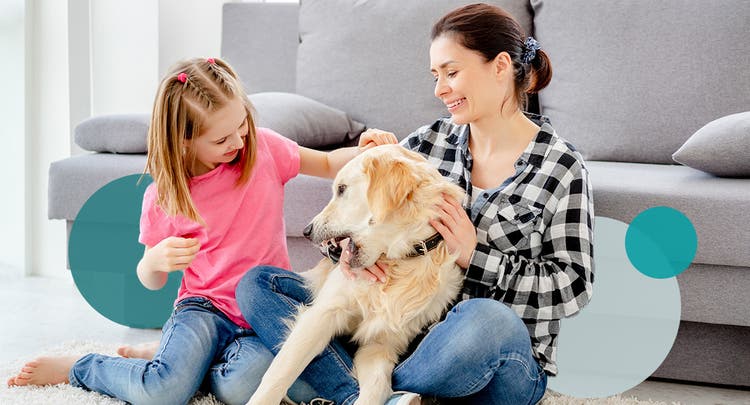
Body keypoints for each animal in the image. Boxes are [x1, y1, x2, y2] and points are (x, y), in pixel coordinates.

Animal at [250, 144, 468, 404]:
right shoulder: (322, 314)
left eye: (342, 189)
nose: (306, 231)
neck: (399, 263)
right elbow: (280, 373)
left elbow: (376, 387)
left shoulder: (381, 343)